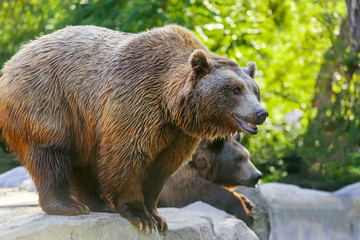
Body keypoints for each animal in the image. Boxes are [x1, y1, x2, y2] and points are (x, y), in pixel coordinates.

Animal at [0, 25, 268, 233]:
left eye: (255, 90)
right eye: (235, 89)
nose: (261, 113)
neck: (171, 104)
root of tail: (14, 59)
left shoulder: (177, 133)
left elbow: (161, 167)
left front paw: (156, 215)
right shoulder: (135, 101)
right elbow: (127, 154)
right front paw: (141, 216)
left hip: (84, 125)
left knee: (85, 162)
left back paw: (100, 204)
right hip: (49, 101)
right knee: (51, 152)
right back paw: (69, 205)